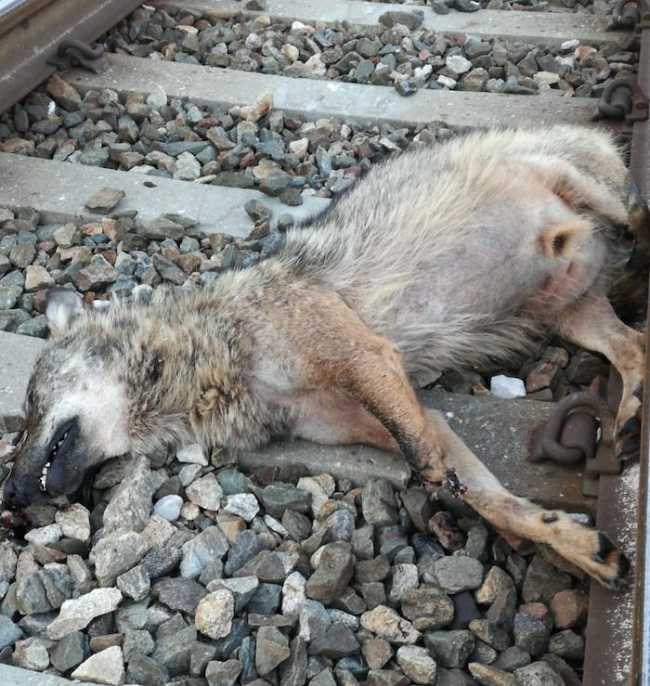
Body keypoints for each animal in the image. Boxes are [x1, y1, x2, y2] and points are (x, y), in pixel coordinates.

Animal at [2, 124, 646, 590]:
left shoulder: (369, 358)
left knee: (633, 215)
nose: (9, 495)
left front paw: (441, 483)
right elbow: (494, 499)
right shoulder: (420, 418)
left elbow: (429, 457)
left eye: (29, 411)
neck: (215, 357)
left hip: (578, 190)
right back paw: (631, 411)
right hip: (569, 316)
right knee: (635, 348)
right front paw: (577, 546)